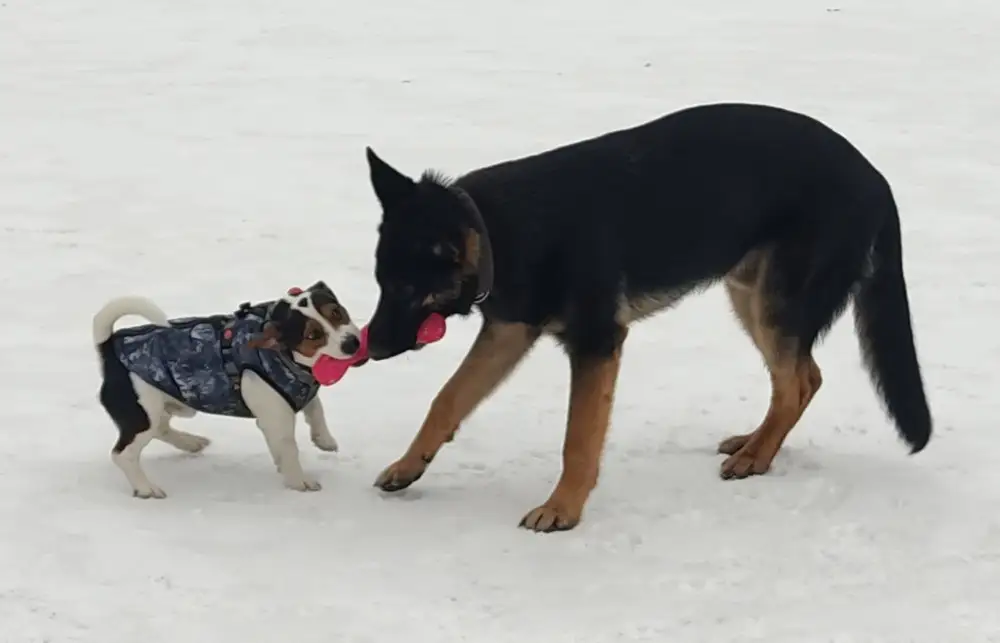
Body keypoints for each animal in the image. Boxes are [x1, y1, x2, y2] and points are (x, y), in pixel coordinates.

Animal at [92, 282, 366, 498]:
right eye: (313, 335)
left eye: (337, 313)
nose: (352, 343)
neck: (286, 357)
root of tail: (109, 348)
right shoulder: (276, 418)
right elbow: (289, 449)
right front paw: (299, 482)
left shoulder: (301, 390)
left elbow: (315, 408)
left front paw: (324, 440)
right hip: (142, 412)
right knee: (123, 454)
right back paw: (146, 488)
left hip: (162, 403)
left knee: (161, 428)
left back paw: (191, 443)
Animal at [364, 102, 932, 532]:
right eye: (381, 284)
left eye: (406, 289)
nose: (368, 348)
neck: (498, 232)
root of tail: (876, 179)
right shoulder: (508, 332)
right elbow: (448, 398)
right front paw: (409, 465)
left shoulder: (596, 342)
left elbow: (578, 438)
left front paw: (563, 508)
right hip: (748, 295)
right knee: (802, 377)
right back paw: (753, 442)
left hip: (773, 305)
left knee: (796, 382)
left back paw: (757, 457)